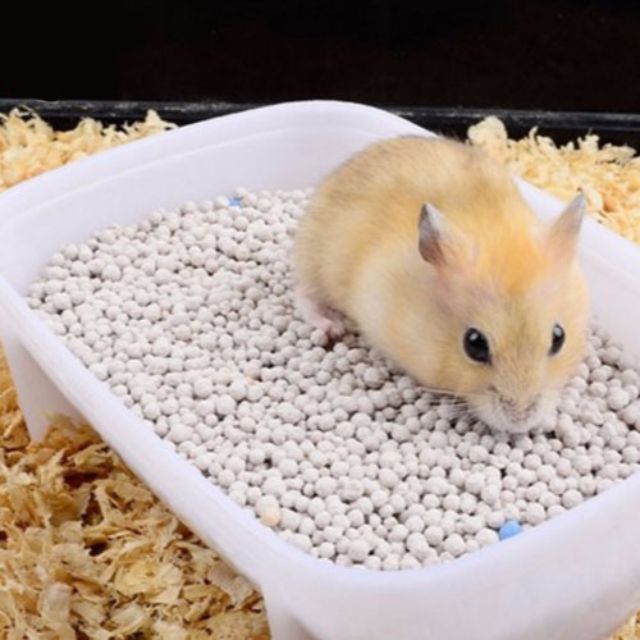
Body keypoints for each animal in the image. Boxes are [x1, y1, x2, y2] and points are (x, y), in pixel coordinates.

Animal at [293, 136, 589, 434]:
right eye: (474, 344)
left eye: (559, 337)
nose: (520, 421)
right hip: (312, 258)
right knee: (303, 296)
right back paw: (331, 327)